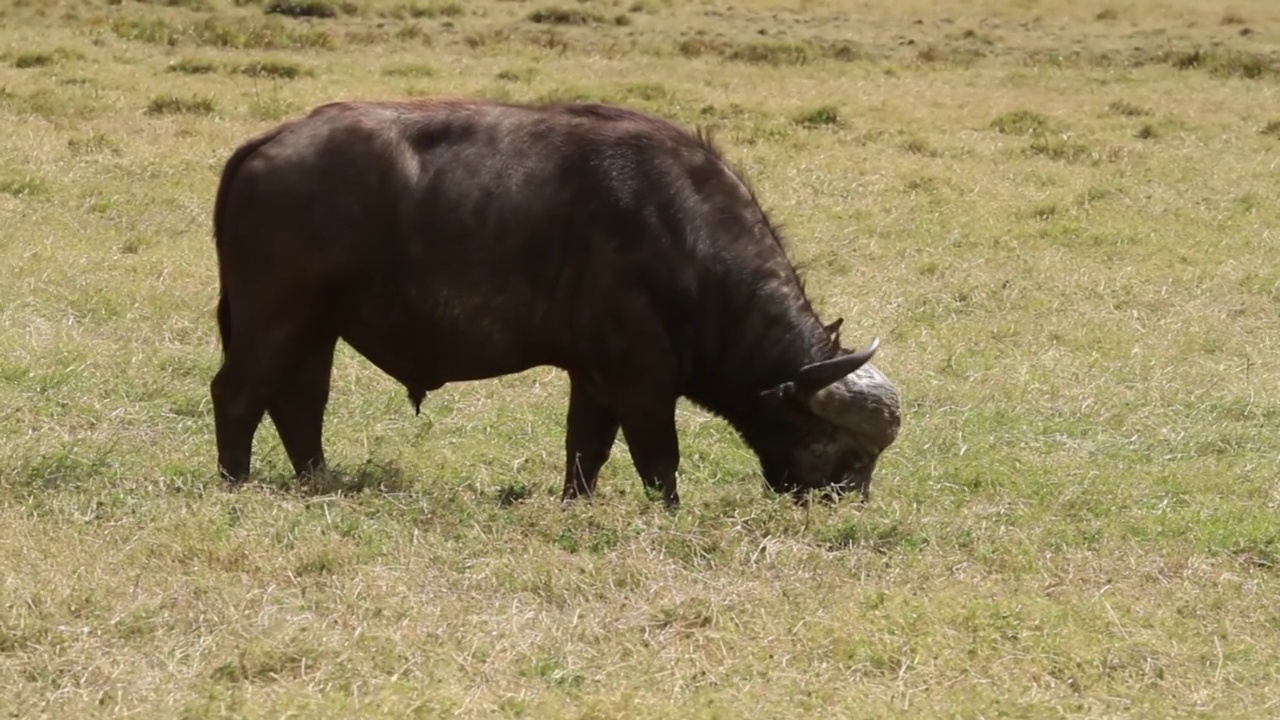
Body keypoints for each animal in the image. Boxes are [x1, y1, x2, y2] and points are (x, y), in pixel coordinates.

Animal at [207, 96, 901, 504]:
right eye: (852, 454)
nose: (849, 505)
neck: (682, 235)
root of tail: (270, 143)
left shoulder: (594, 377)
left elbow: (586, 449)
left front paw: (579, 504)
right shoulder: (642, 379)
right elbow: (659, 457)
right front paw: (669, 511)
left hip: (314, 326)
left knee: (300, 400)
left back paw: (317, 478)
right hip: (273, 316)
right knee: (237, 392)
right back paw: (234, 481)